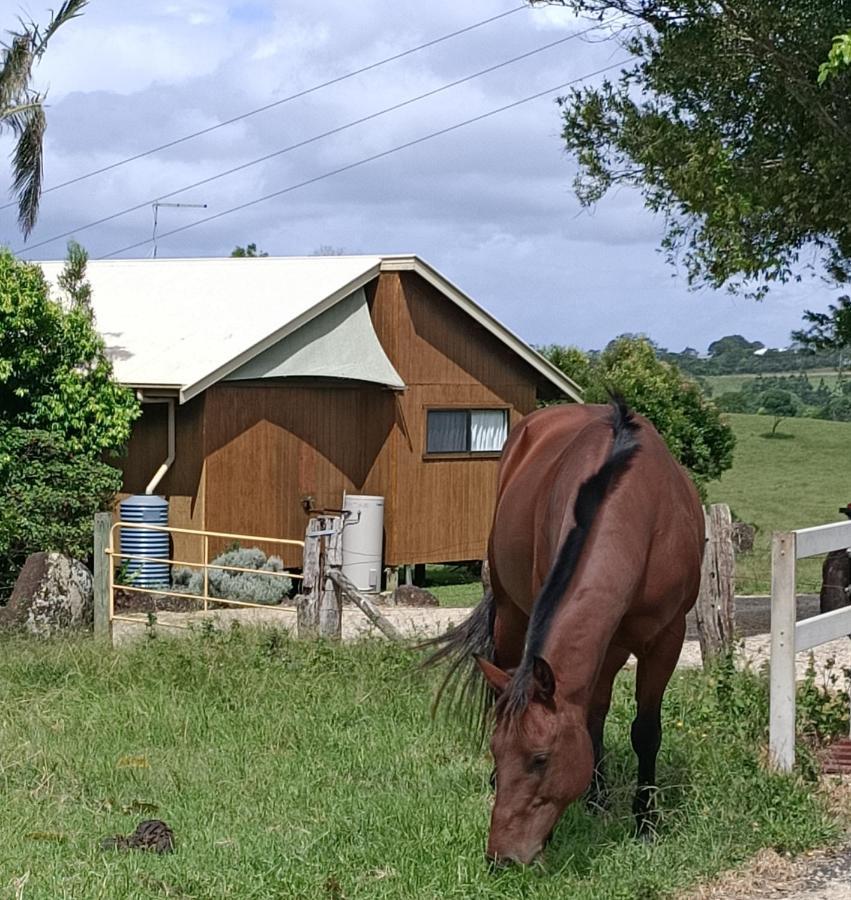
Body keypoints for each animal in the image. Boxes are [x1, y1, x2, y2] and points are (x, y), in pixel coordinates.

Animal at [426, 396, 704, 864]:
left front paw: (645, 822)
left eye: (540, 758)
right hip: (512, 612)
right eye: (497, 750)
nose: (502, 857)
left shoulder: (666, 638)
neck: (640, 509)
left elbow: (644, 730)